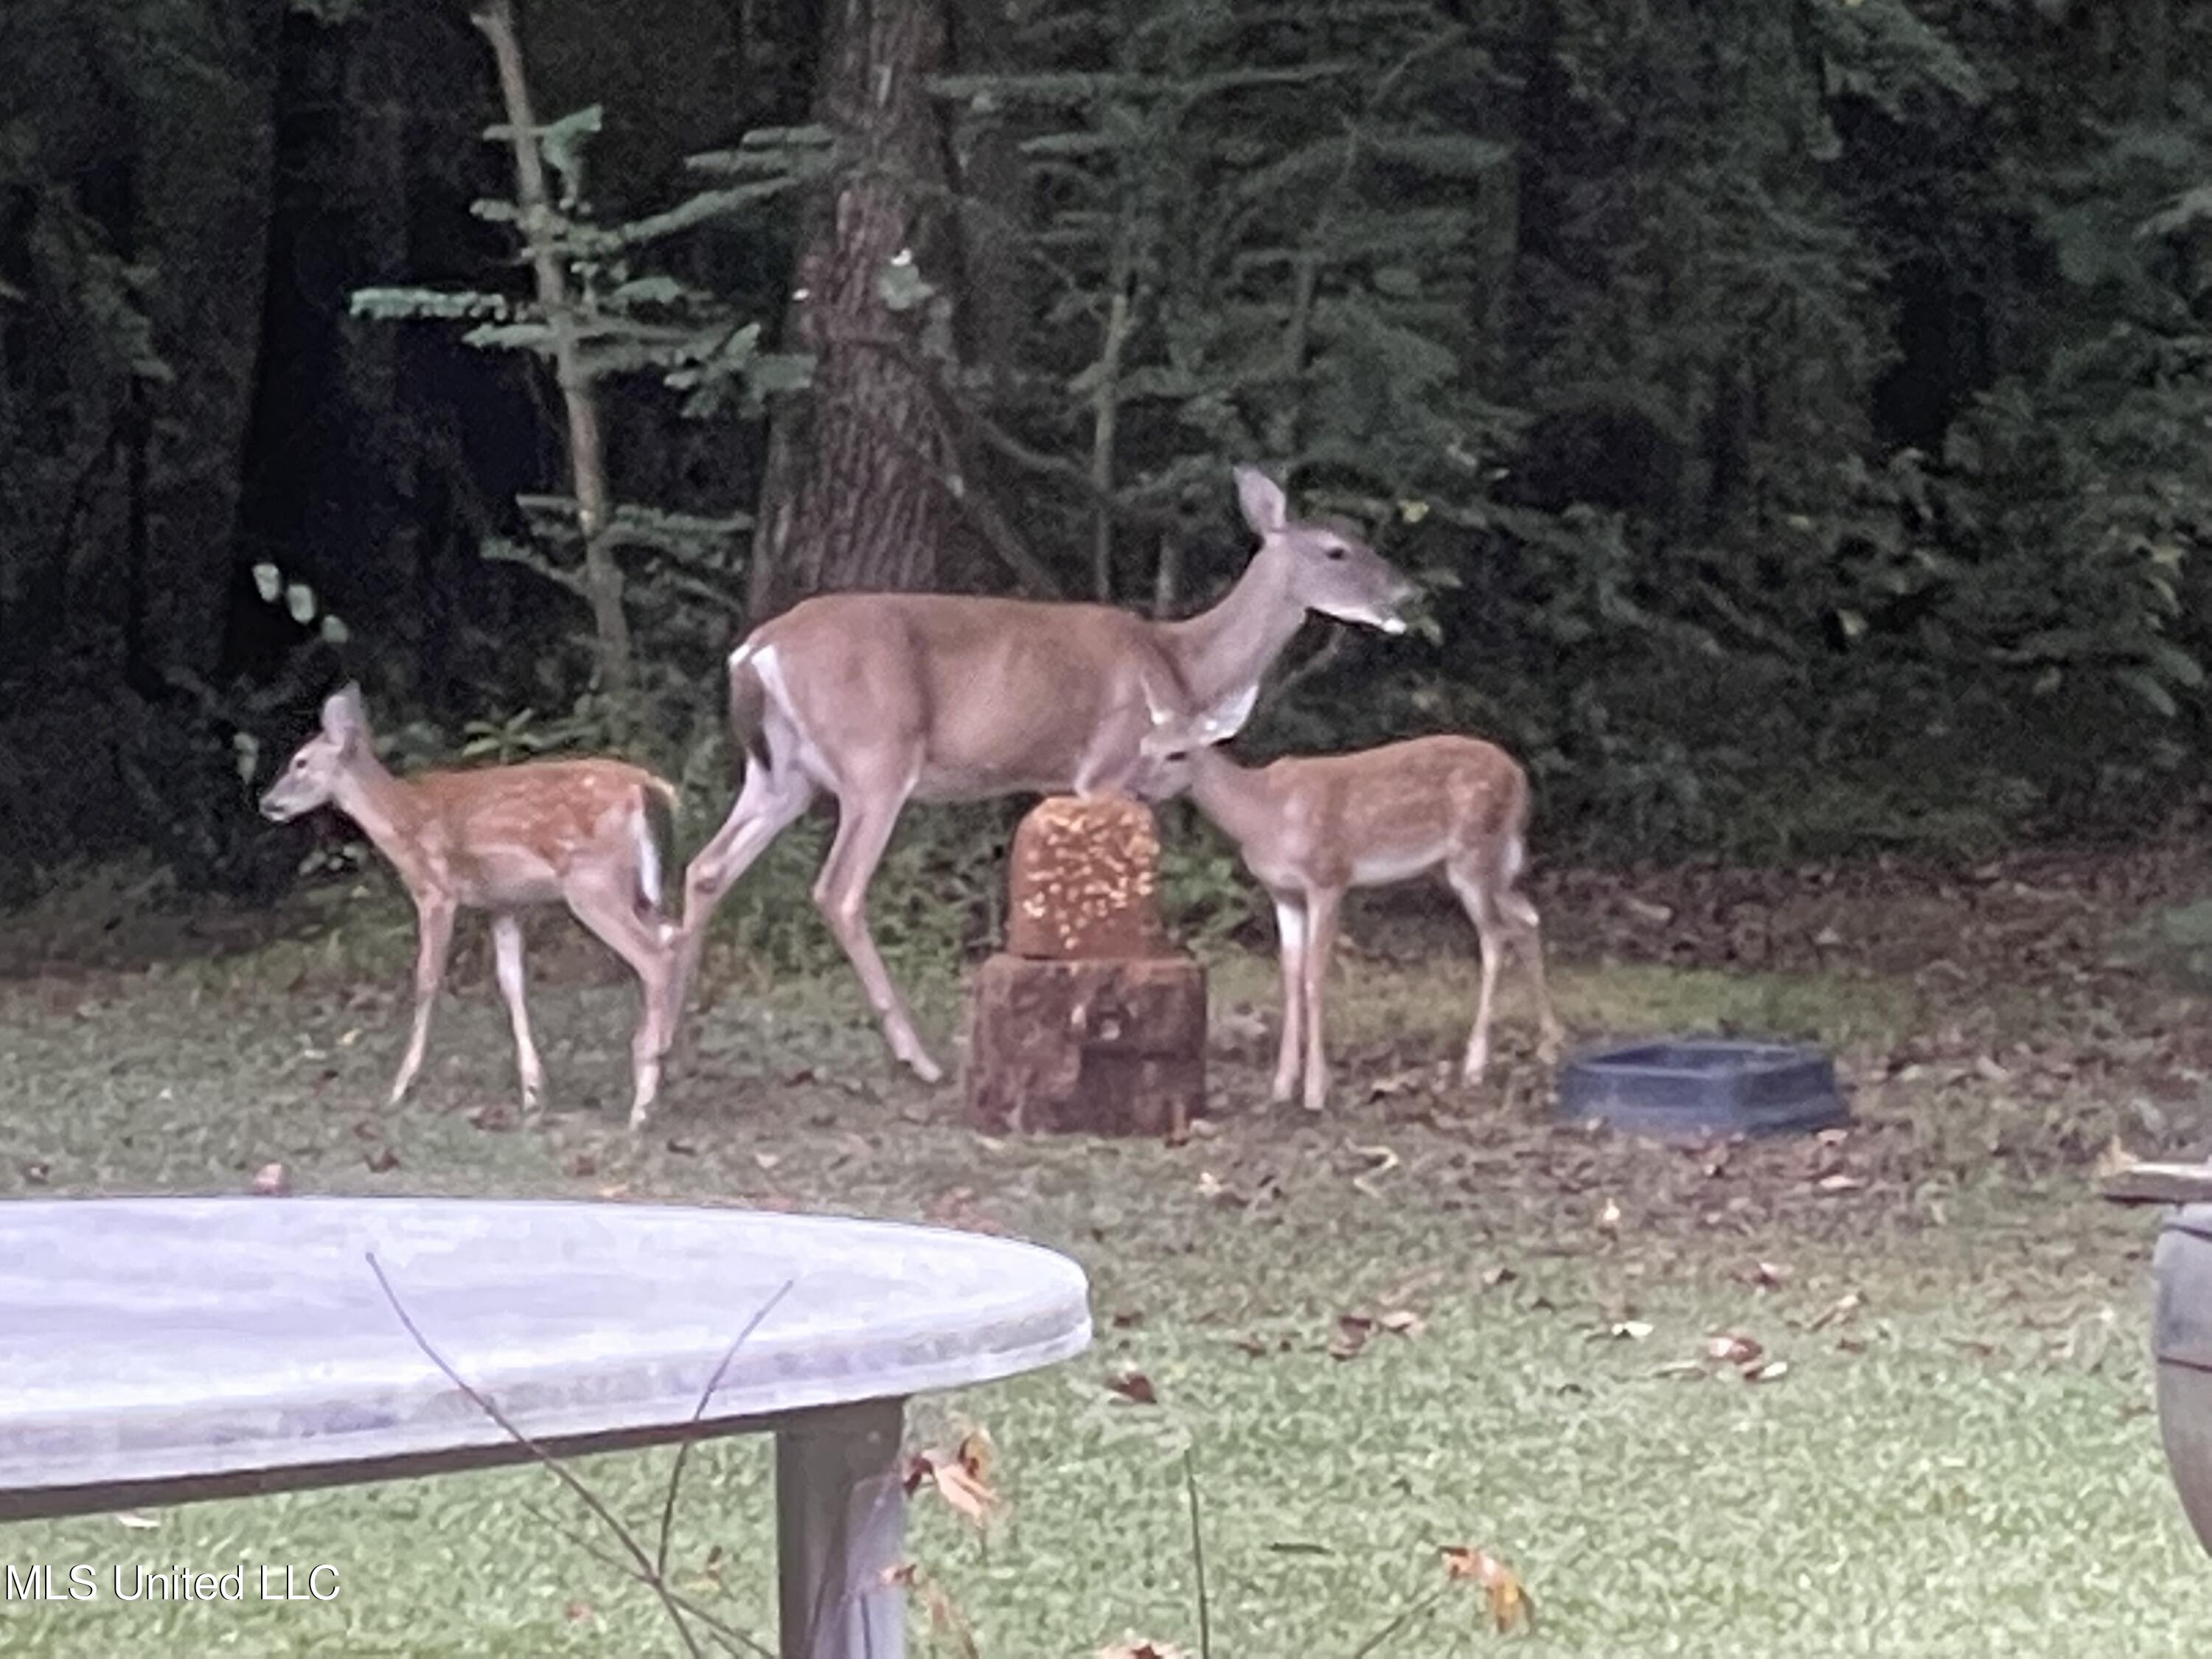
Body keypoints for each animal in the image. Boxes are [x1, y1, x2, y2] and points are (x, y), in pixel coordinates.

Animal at [258, 685, 680, 1129]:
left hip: (594, 884)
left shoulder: (436, 892)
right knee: (673, 938)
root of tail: (650, 789)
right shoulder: (504, 905)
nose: (267, 802)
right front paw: (532, 1092)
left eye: (300, 761)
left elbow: (426, 980)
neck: (401, 817)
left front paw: (400, 1085)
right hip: (639, 890)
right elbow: (511, 983)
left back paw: (642, 1099)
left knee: (655, 957)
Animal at [674, 465, 1419, 1082]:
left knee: (708, 866)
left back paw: (672, 1036)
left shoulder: (1063, 783)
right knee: (838, 889)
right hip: (874, 759)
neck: (1181, 662)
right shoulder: (1107, 766)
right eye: (1337, 549)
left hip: (783, 773)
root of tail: (756, 648)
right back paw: (918, 1057)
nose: (1406, 592)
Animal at [1132, 721, 1566, 1112]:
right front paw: (1282, 1085)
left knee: (1494, 936)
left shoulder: (1329, 878)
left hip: (1473, 855)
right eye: (1144, 747)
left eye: (1178, 754)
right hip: (1463, 867)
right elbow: (1290, 975)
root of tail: (1521, 777)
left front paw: (1315, 1091)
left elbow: (1314, 974)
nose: (1138, 789)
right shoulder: (1283, 894)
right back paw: (1548, 1044)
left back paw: (1475, 1065)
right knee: (1527, 918)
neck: (1265, 815)